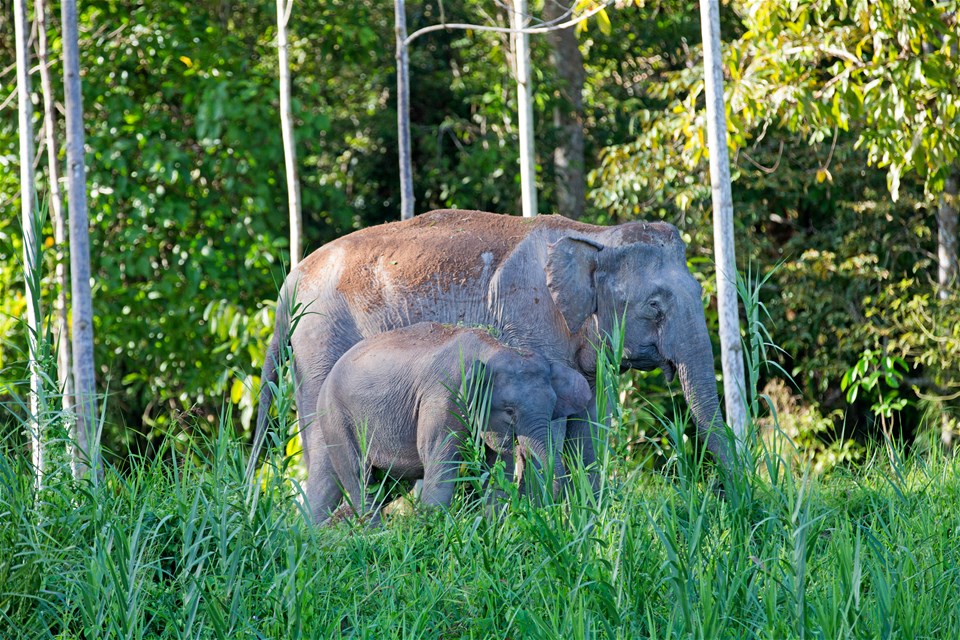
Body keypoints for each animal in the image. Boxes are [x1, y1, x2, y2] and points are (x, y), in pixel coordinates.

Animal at [246, 210, 728, 484]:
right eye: (654, 307)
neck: (594, 234)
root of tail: (292, 278)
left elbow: (589, 428)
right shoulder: (529, 319)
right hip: (320, 341)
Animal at [308, 322, 592, 524]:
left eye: (553, 407)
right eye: (510, 411)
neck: (493, 349)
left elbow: (496, 466)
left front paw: (493, 524)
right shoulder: (443, 396)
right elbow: (440, 459)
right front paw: (431, 526)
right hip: (337, 417)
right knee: (359, 477)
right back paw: (372, 532)